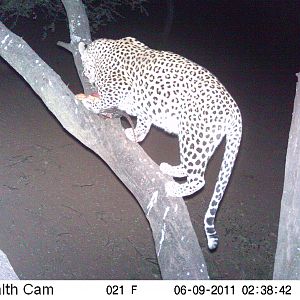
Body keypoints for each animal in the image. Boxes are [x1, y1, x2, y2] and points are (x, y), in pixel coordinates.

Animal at [76, 36, 243, 250]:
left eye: (86, 68)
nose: (87, 77)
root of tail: (235, 110)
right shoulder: (144, 106)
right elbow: (143, 122)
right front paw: (135, 135)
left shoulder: (119, 86)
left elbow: (106, 99)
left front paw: (90, 102)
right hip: (204, 141)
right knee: (191, 167)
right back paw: (169, 169)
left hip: (194, 136)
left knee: (199, 178)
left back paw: (175, 188)